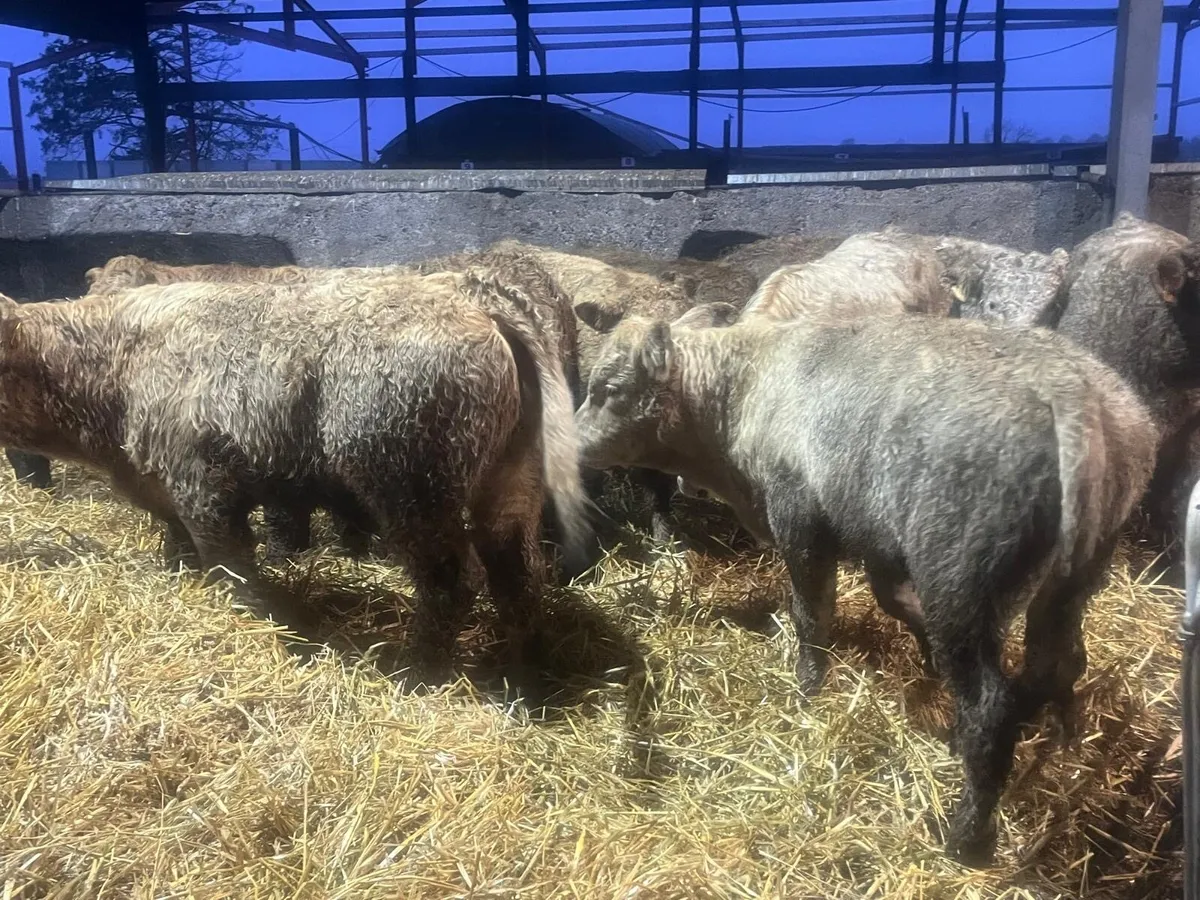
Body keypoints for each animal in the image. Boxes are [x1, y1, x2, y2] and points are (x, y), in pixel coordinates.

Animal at [0, 269, 592, 683]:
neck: (119, 361)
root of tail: (474, 297)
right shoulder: (165, 488)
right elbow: (181, 549)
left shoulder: (205, 486)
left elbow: (234, 570)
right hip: (509, 486)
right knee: (516, 574)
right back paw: (525, 679)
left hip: (410, 490)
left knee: (451, 580)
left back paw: (416, 672)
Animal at [573, 305, 1157, 865]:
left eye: (609, 388)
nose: (572, 448)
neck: (741, 392)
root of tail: (1077, 395)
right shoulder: (877, 542)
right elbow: (894, 604)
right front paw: (925, 671)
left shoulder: (801, 520)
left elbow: (812, 613)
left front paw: (807, 690)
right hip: (1069, 579)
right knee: (1057, 663)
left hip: (961, 579)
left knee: (991, 705)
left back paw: (964, 836)